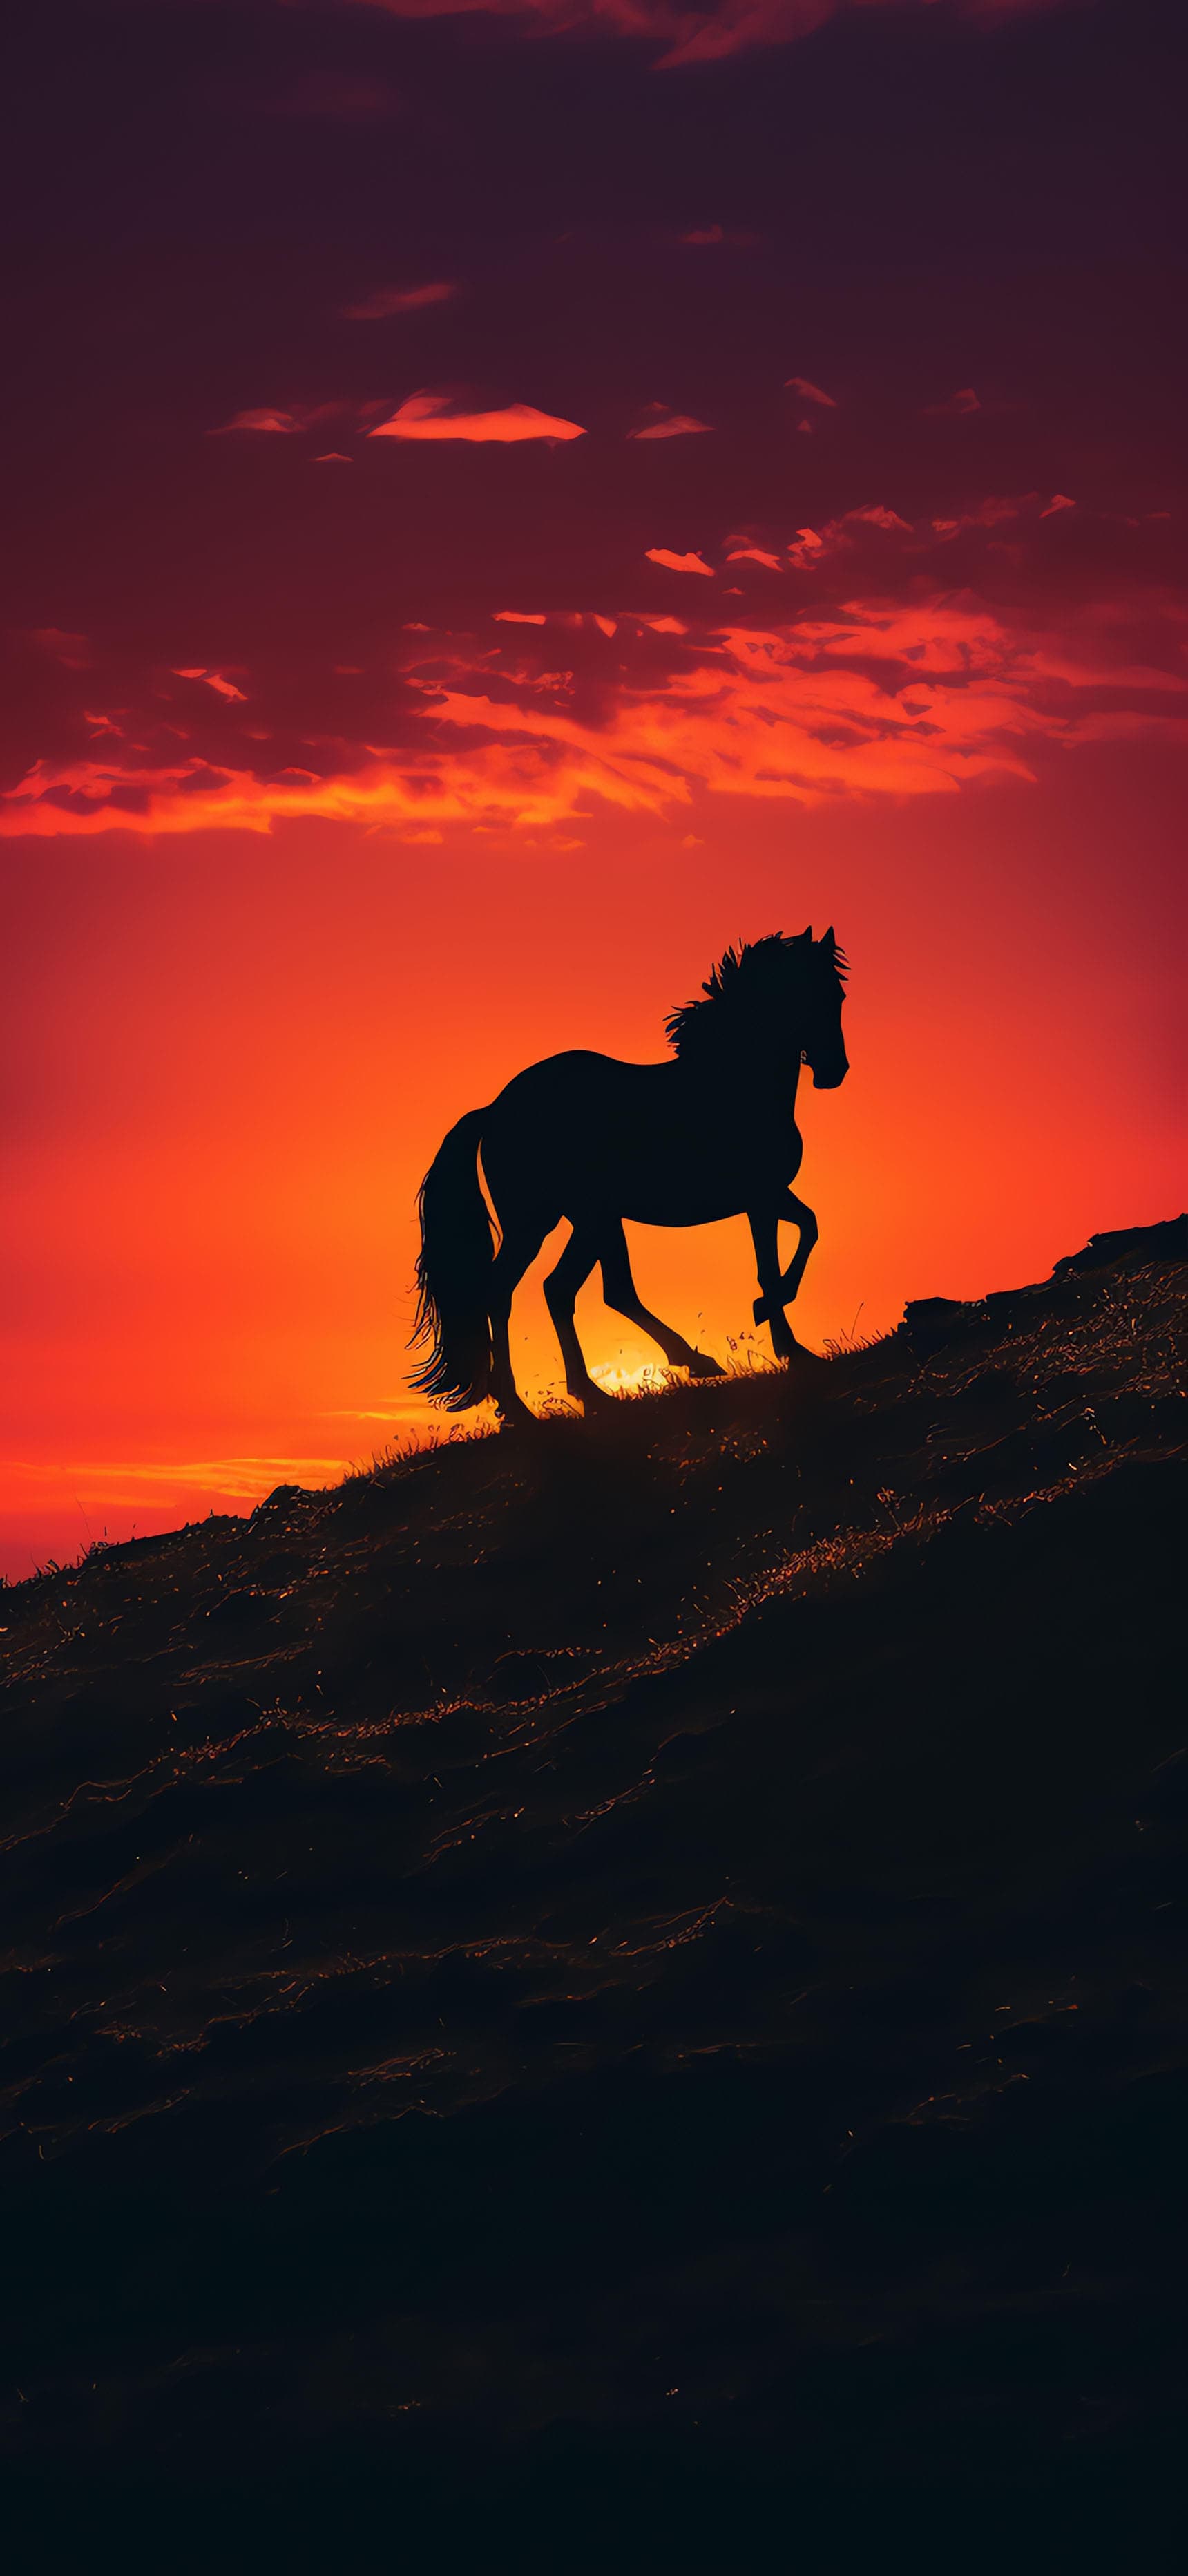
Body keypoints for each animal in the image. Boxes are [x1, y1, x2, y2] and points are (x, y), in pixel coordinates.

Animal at [410, 928, 849, 1426]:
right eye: (809, 993)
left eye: (838, 995)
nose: (834, 1071)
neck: (734, 1083)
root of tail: (494, 1110)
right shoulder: (759, 1197)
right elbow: (771, 1267)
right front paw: (785, 1340)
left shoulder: (772, 1193)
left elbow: (808, 1228)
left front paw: (789, 1342)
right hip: (546, 1223)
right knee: (524, 1292)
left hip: (585, 1219)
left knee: (560, 1290)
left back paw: (593, 1393)